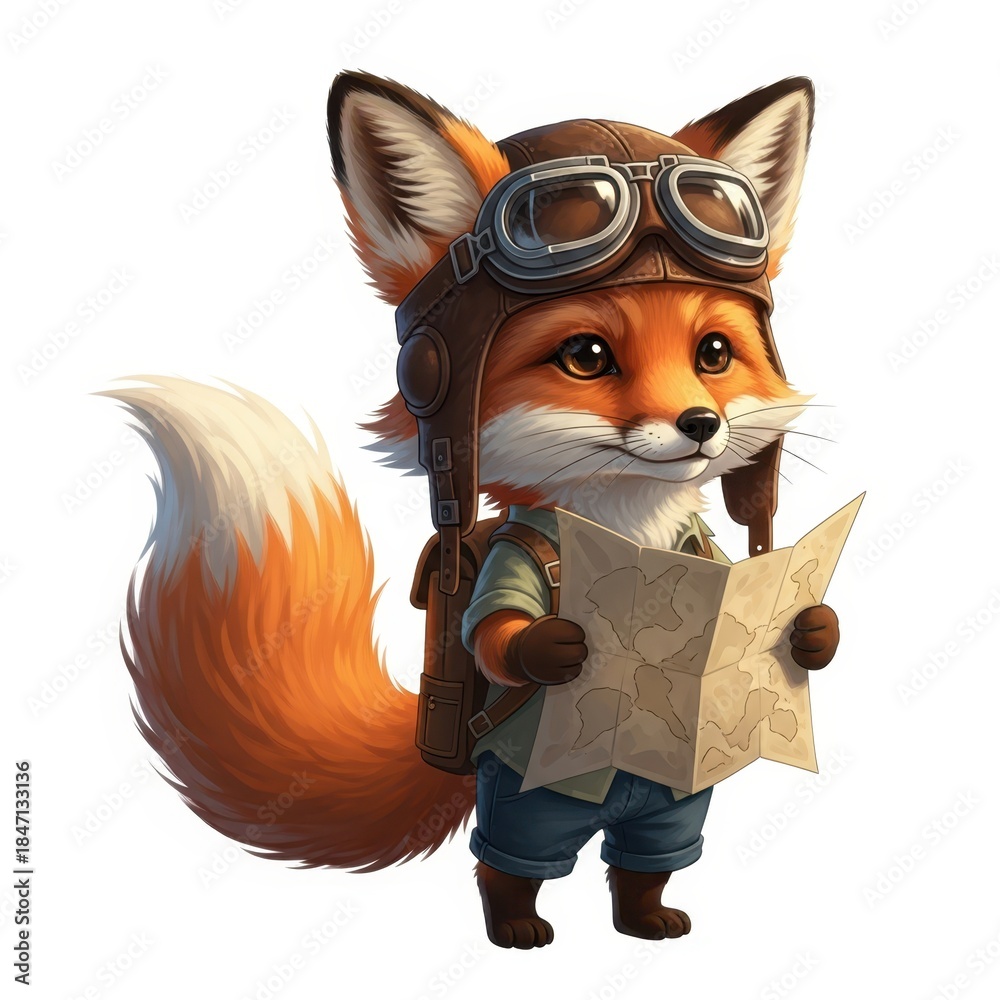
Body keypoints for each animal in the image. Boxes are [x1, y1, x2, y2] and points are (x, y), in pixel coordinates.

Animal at [107, 70, 840, 951]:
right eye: (587, 356)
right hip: (527, 807)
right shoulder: (510, 563)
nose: (701, 424)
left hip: (668, 807)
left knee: (646, 854)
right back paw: (515, 926)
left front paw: (811, 631)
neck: (628, 530)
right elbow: (499, 632)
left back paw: (645, 916)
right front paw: (551, 646)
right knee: (510, 860)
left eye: (715, 354)